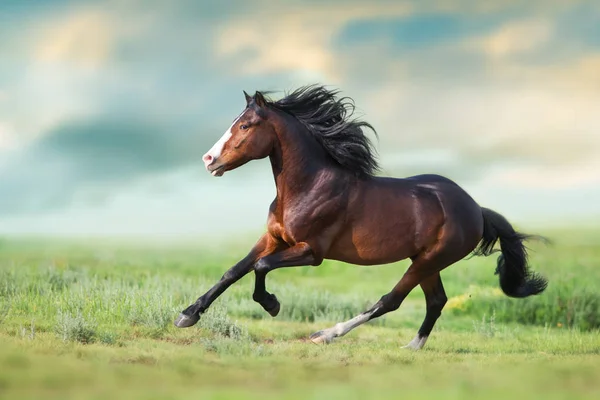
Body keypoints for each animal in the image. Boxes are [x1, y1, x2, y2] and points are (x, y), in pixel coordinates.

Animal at [175, 85, 548, 350]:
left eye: (245, 125)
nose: (209, 160)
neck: (309, 186)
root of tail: (476, 209)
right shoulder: (274, 238)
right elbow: (234, 270)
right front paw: (187, 315)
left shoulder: (312, 252)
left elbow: (260, 267)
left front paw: (272, 305)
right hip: (426, 261)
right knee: (436, 301)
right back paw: (412, 347)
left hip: (429, 260)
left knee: (391, 301)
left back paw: (326, 334)